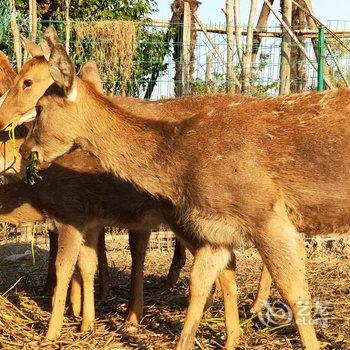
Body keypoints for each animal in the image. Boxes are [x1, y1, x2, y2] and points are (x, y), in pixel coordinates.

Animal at [15, 26, 350, 348]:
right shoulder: (217, 232)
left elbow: (295, 292)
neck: (181, 162)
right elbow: (199, 284)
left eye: (40, 106)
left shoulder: (267, 215)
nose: (24, 150)